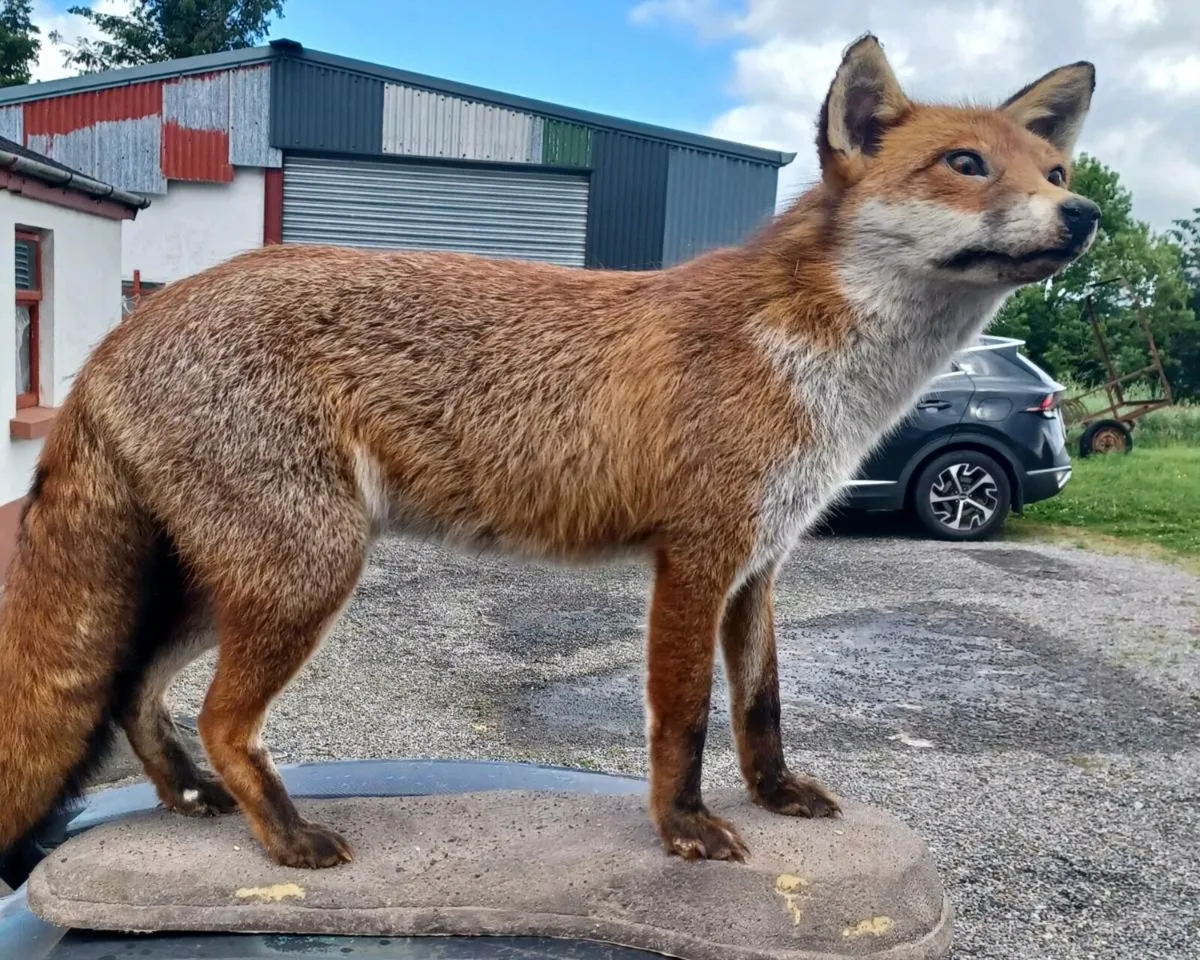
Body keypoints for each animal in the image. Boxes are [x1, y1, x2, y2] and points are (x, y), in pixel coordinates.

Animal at [0, 34, 1099, 883]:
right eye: (964, 164)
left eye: (1053, 174)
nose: (1084, 216)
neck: (820, 370)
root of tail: (122, 328)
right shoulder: (695, 560)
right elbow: (684, 720)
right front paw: (686, 830)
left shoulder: (760, 566)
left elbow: (762, 707)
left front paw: (777, 795)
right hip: (307, 570)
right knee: (224, 718)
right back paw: (288, 839)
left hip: (227, 585)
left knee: (136, 691)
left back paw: (188, 798)